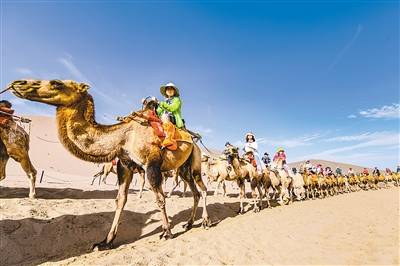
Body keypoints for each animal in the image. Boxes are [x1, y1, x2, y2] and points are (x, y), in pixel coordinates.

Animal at [7, 79, 212, 251]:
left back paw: (205, 221)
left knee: (202, 189)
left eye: (56, 83)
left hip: (194, 162)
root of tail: (195, 141)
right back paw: (189, 223)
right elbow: (120, 200)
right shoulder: (125, 166)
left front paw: (167, 232)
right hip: (182, 169)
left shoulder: (151, 165)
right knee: (194, 191)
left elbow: (160, 198)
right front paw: (106, 241)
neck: (124, 136)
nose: (18, 83)